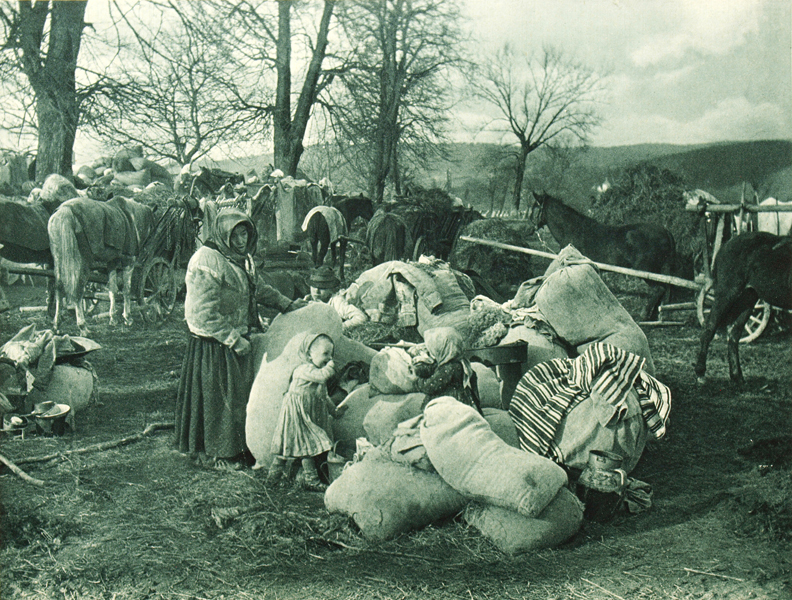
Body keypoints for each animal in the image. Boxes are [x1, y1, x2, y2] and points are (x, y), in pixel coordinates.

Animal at [49, 196, 156, 332]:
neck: (130, 216)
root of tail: (66, 210)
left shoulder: (112, 262)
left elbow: (113, 289)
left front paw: (113, 318)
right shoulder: (129, 261)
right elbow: (126, 289)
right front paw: (127, 317)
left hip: (58, 260)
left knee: (58, 287)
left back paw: (56, 324)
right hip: (83, 263)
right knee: (78, 289)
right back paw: (83, 326)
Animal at [524, 192, 676, 324]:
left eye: (534, 208)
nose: (527, 229)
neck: (574, 230)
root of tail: (665, 231)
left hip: (645, 270)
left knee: (658, 289)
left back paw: (644, 314)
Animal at [692, 232, 792, 386]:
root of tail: (725, 246)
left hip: (748, 298)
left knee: (734, 334)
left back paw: (737, 376)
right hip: (727, 293)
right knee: (709, 328)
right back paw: (700, 373)